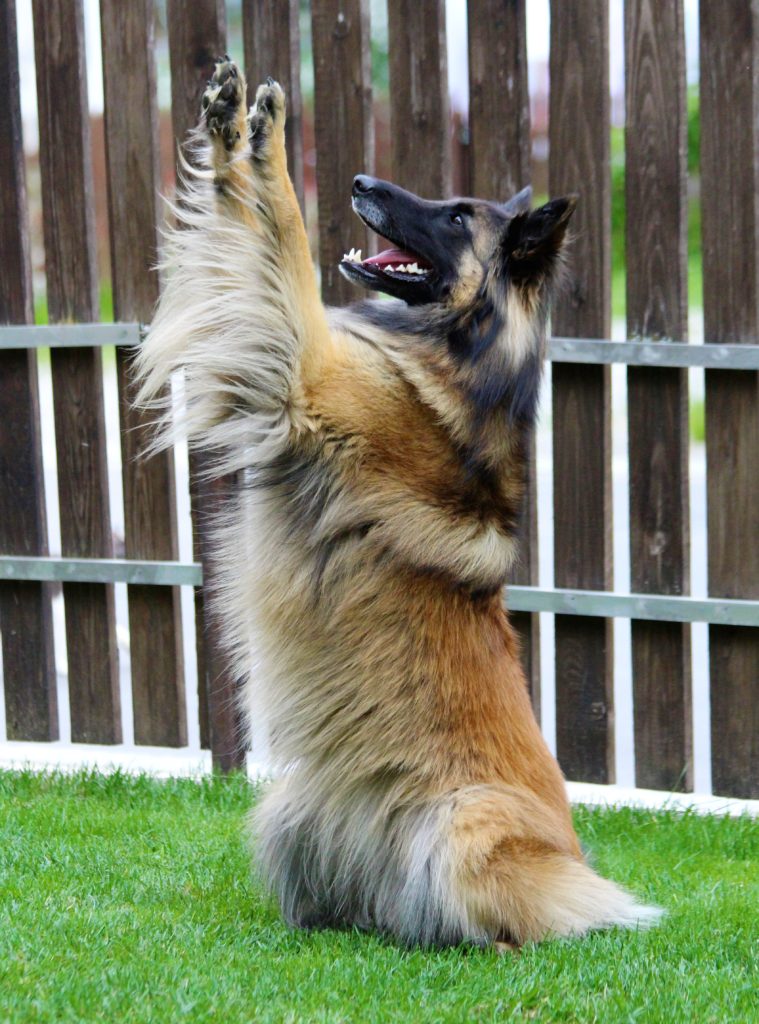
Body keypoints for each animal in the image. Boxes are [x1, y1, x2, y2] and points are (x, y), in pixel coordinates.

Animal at [135, 58, 660, 947]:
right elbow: (252, 224)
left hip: (467, 823)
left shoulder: (301, 370)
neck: (458, 350)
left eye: (453, 216)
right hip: (293, 807)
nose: (360, 182)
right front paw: (227, 121)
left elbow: (282, 233)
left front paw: (264, 137)